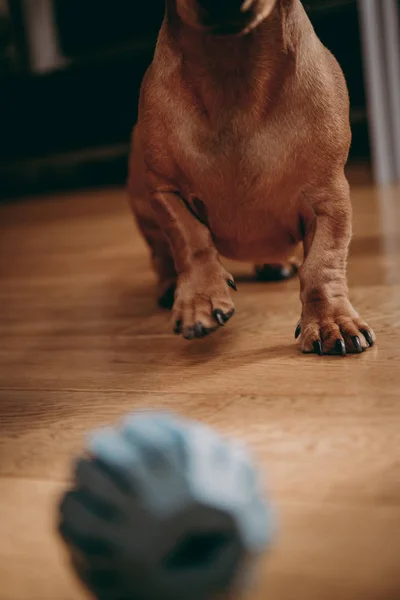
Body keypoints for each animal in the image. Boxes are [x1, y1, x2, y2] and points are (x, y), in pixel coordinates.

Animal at [128, 1, 376, 356]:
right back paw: (169, 285)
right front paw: (199, 300)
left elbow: (322, 262)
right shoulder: (164, 189)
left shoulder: (329, 195)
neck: (232, 66)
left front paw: (332, 322)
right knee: (161, 253)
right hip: (142, 208)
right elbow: (189, 239)